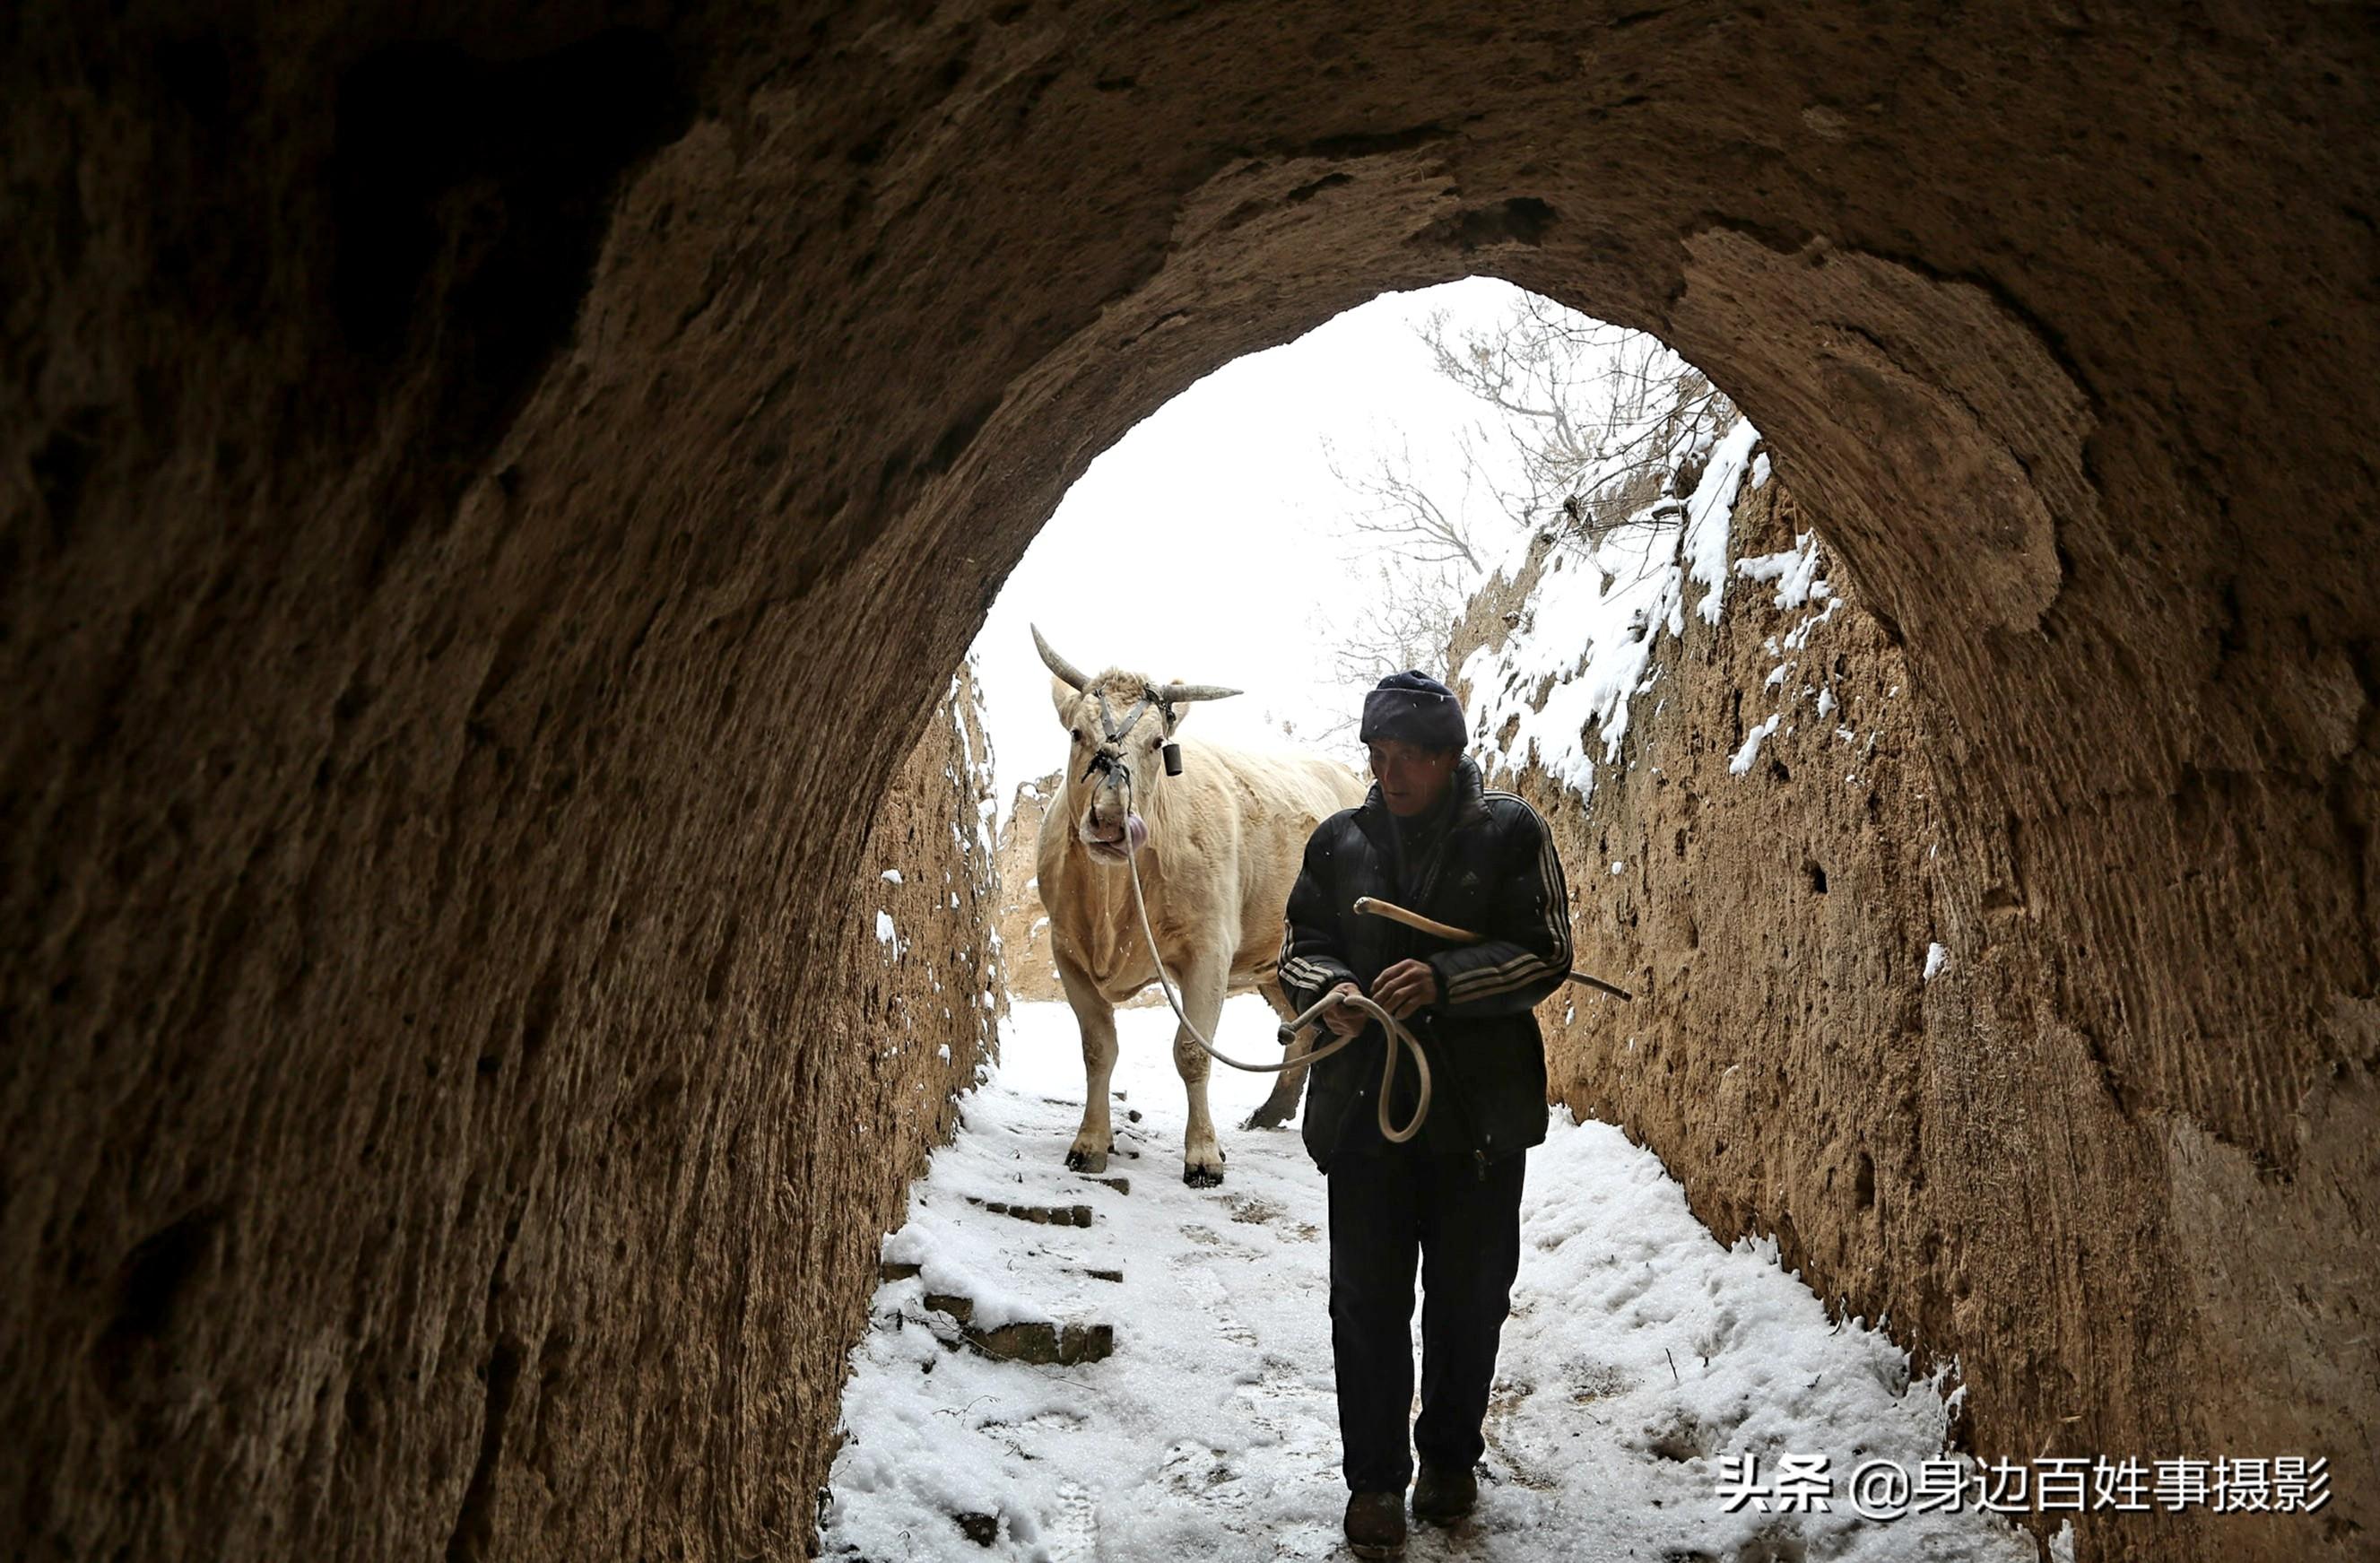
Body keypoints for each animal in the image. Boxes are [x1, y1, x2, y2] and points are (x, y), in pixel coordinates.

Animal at [1032, 623, 1370, 1185]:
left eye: (1156, 743)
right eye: (1076, 734)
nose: (1110, 819)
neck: (1112, 901)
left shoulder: (1209, 950)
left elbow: (1192, 1052)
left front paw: (1204, 1155)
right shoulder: (1067, 951)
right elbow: (1098, 1048)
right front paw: (1090, 1143)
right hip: (1273, 964)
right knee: (1299, 1031)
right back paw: (1271, 1111)